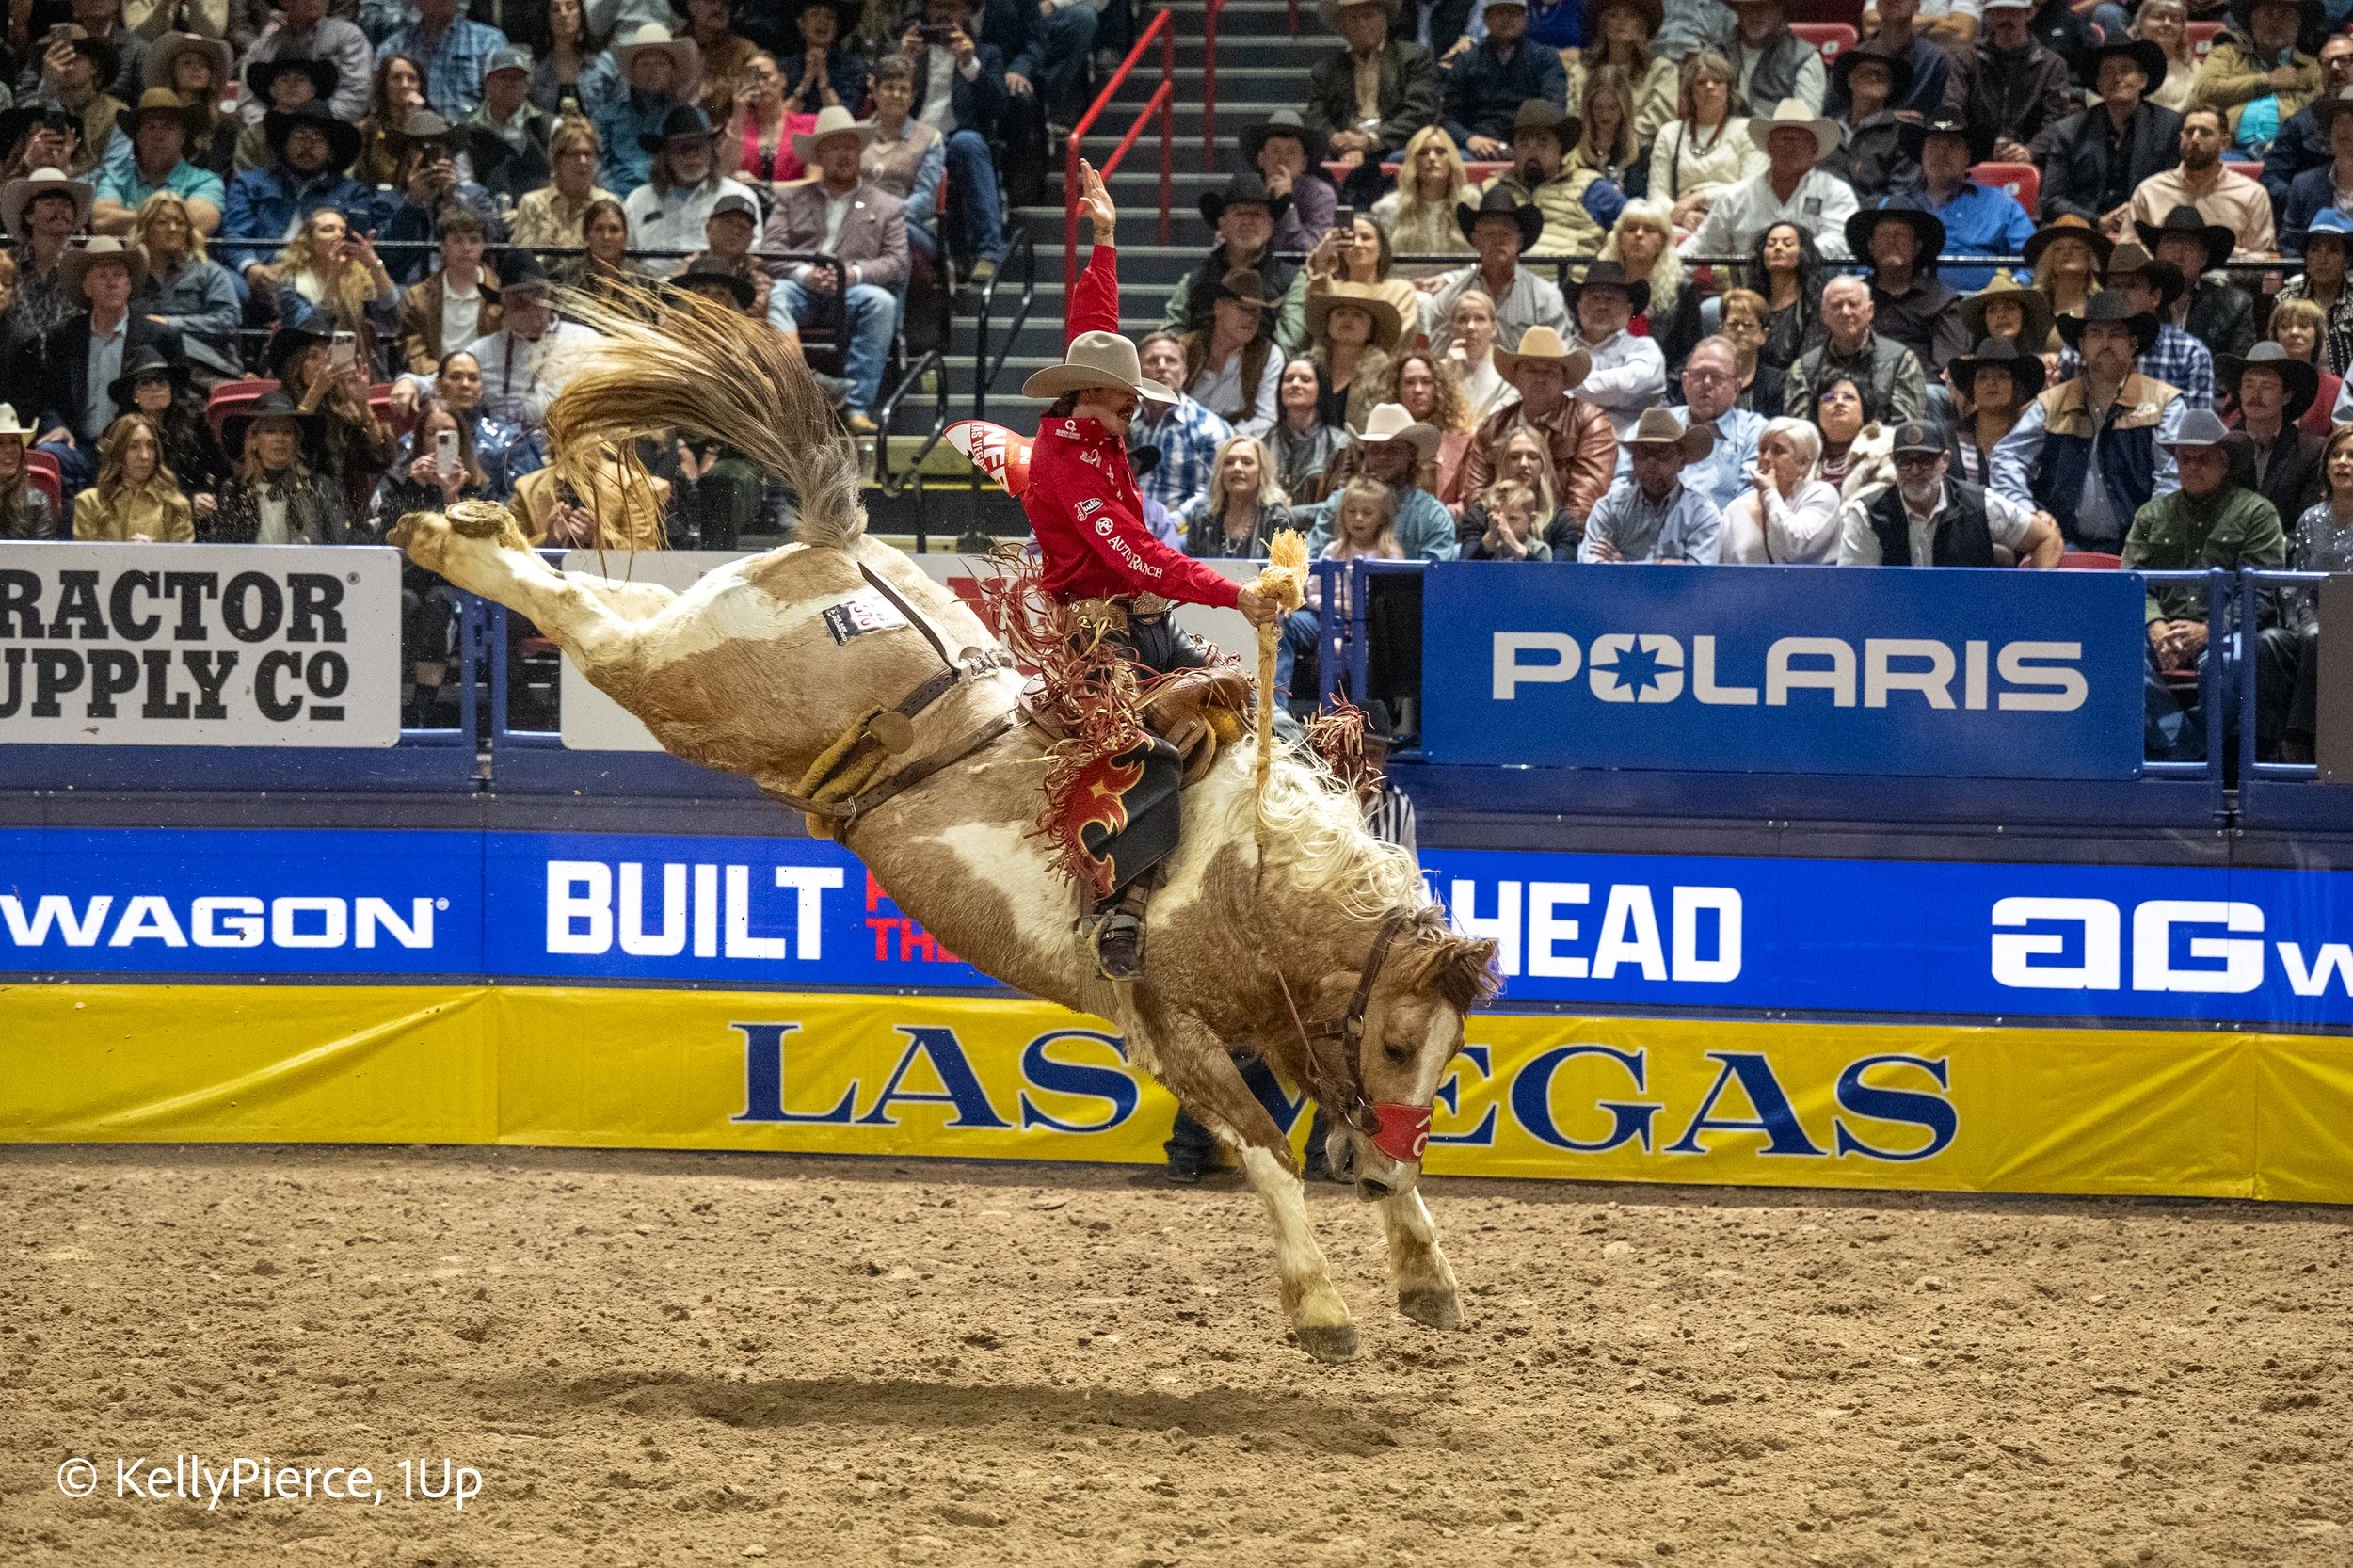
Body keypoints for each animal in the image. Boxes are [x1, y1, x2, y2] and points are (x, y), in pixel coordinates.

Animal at [388, 292, 1500, 1362]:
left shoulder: (1287, 1023)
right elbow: (1265, 1152)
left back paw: (475, 525)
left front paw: (1424, 1272)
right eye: (1401, 1040)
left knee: (596, 595)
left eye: (1449, 1054)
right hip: (685, 685)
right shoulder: (1169, 1027)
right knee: (586, 620)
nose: (1386, 1162)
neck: (1247, 875)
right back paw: (441, 539)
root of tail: (840, 544)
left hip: (695, 650)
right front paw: (1321, 1306)